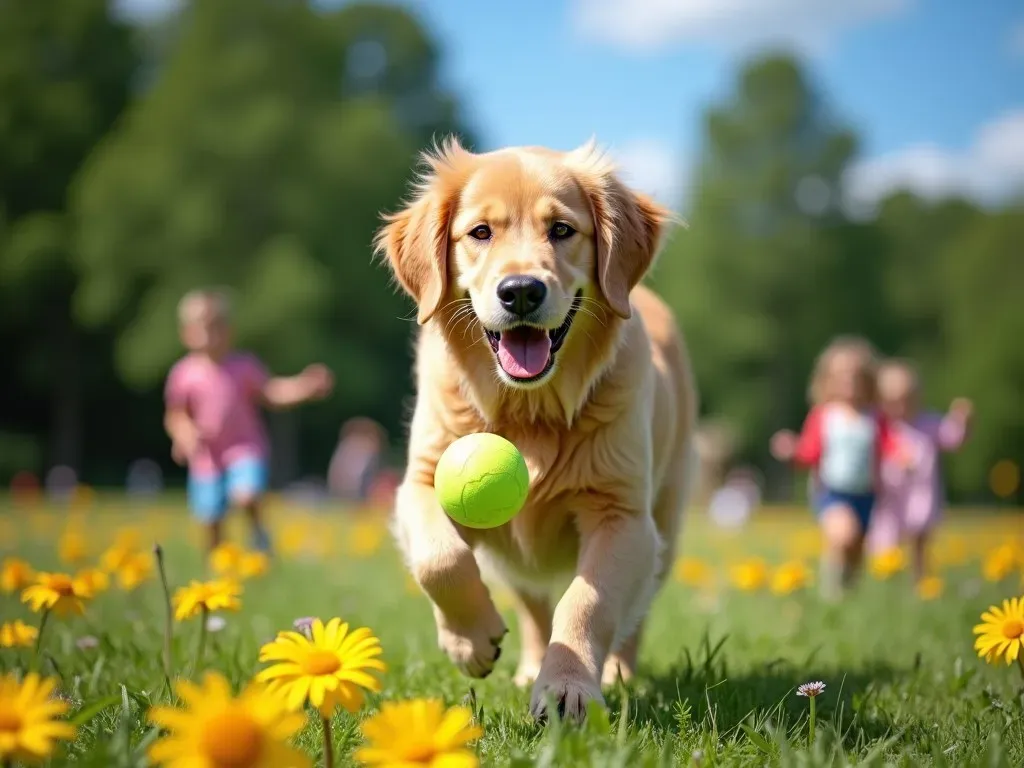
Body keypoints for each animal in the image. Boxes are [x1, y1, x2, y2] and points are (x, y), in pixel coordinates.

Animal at [372, 138, 700, 720]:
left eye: (562, 229)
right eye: (480, 232)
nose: (521, 291)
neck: (530, 411)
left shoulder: (622, 515)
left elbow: (588, 601)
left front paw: (568, 686)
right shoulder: (421, 482)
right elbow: (440, 559)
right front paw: (470, 641)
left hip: (664, 519)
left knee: (632, 610)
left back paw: (616, 671)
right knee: (531, 602)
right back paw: (526, 665)